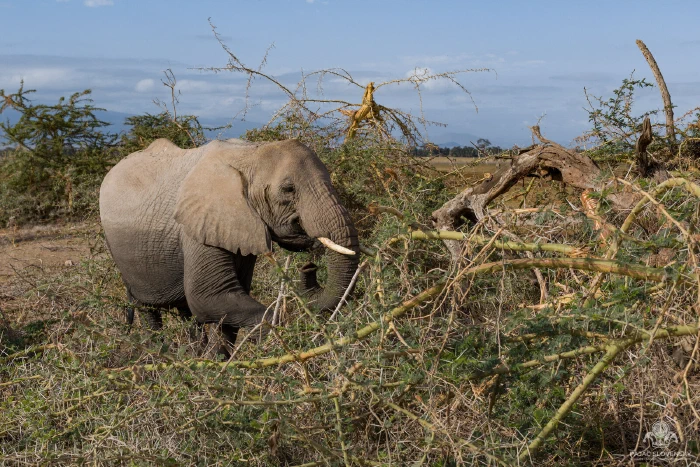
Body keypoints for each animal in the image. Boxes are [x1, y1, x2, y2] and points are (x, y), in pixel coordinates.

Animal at [99, 138, 359, 348]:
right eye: (288, 189)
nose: (308, 267)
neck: (250, 153)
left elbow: (229, 300)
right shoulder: (198, 225)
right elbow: (209, 297)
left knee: (185, 312)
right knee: (148, 308)